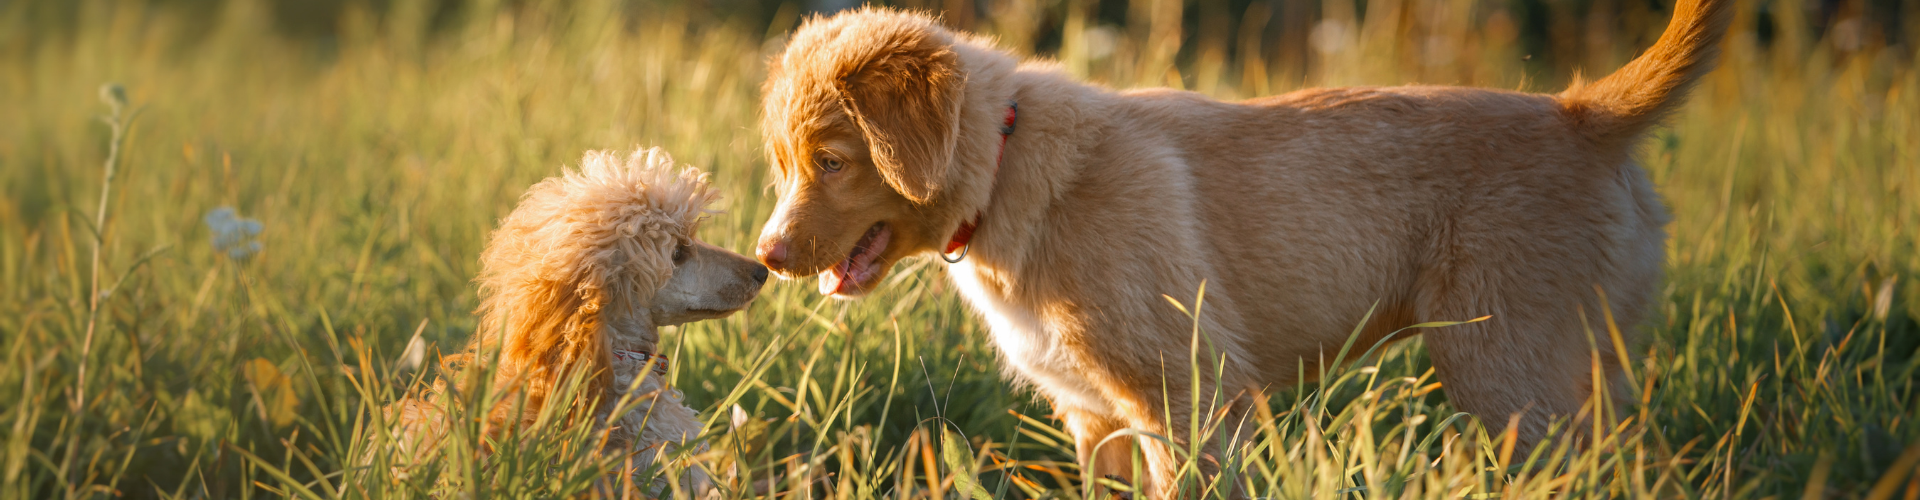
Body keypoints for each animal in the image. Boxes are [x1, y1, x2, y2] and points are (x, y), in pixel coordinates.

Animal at [756, 0, 1735, 492]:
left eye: (833, 161)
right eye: (783, 163)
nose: (765, 257)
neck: (1006, 163)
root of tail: (1585, 115)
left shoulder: (1184, 395)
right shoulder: (1095, 416)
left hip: (1507, 367)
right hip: (1581, 364)